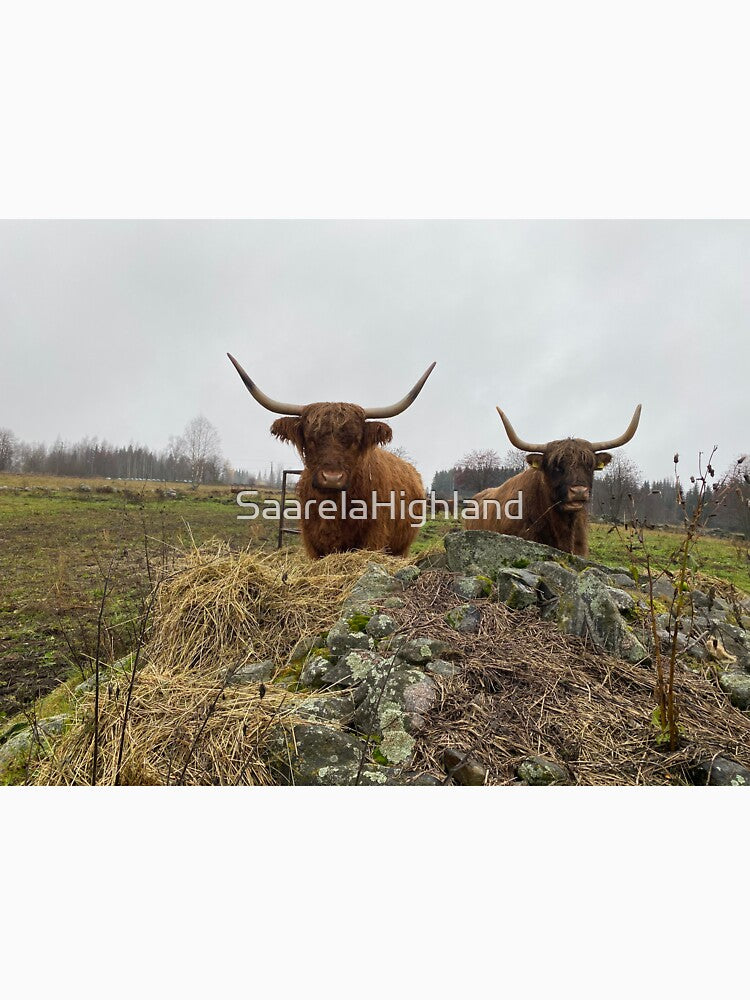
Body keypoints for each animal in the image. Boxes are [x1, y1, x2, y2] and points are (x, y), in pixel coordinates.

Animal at [228, 354, 435, 559]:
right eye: (311, 438)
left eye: (355, 440)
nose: (332, 478)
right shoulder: (313, 544)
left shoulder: (373, 539)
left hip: (402, 548)